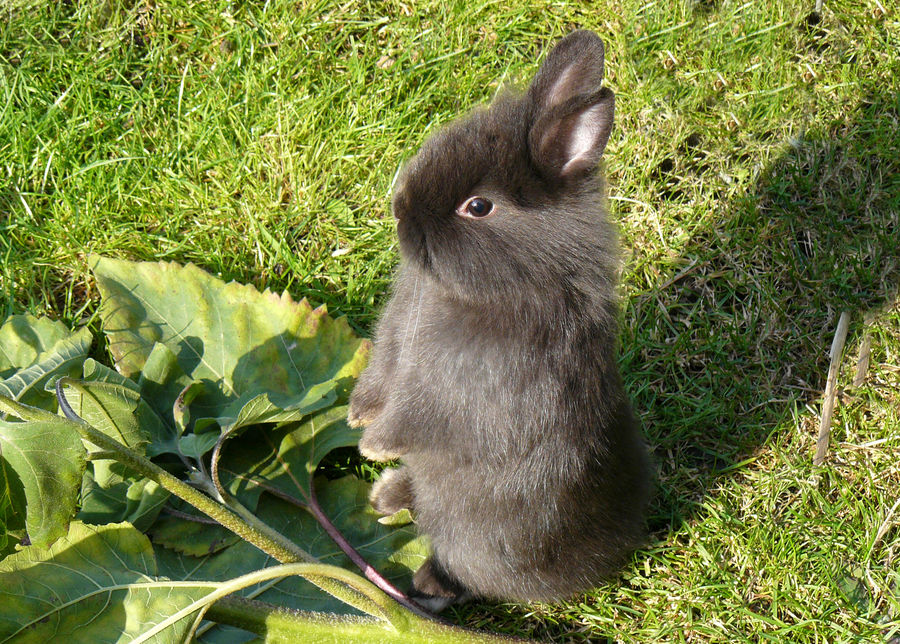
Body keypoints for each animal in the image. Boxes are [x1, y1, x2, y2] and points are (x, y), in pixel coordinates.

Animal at [348, 29, 651, 610]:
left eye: (479, 206)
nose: (401, 212)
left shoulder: (454, 393)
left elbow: (413, 419)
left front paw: (370, 444)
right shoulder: (393, 349)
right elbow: (380, 381)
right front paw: (357, 417)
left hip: (480, 543)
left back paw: (426, 578)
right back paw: (385, 495)